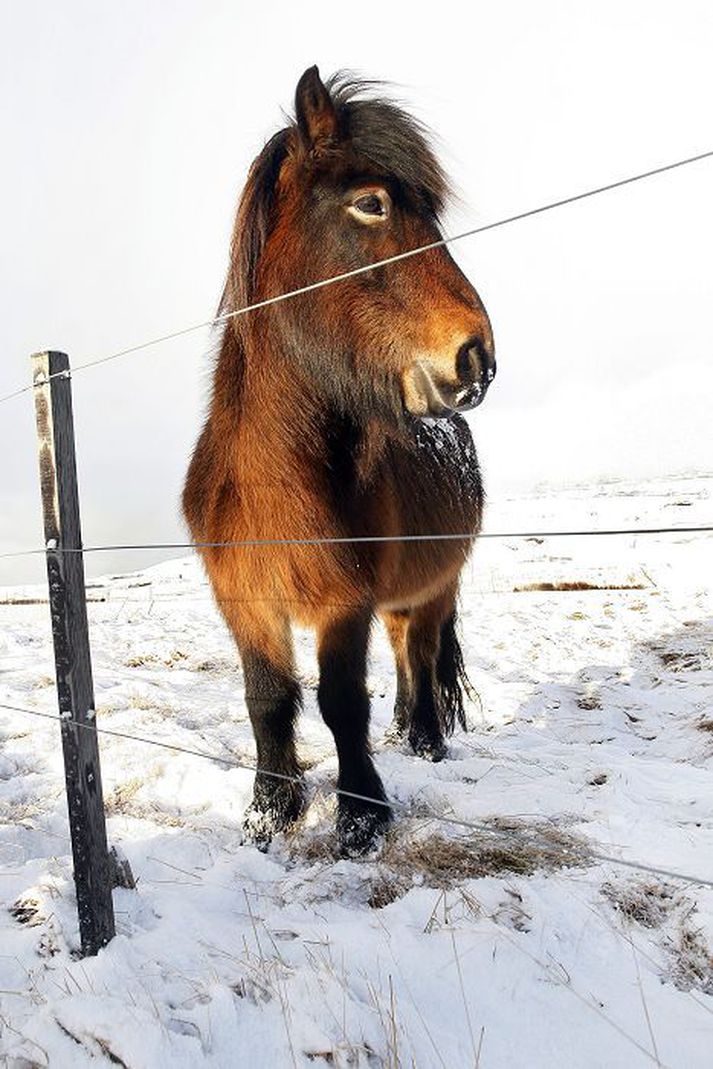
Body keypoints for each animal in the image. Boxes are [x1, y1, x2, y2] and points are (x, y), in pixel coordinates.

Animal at [182, 64, 496, 850]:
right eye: (370, 203)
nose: (476, 357)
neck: (274, 482)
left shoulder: (341, 601)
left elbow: (340, 700)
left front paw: (360, 817)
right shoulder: (244, 600)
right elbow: (266, 697)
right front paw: (270, 811)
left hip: (434, 585)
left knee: (421, 651)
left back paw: (424, 740)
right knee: (405, 651)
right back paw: (405, 730)